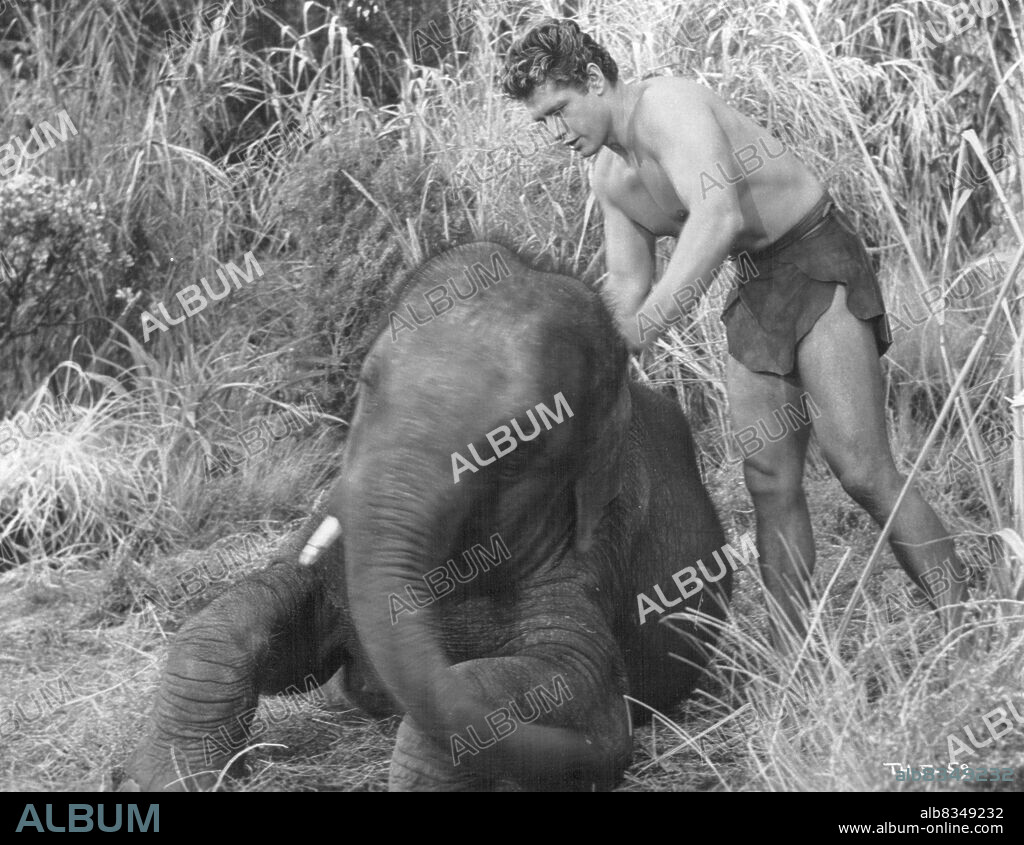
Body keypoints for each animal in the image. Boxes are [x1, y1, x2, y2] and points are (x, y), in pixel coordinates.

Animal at [124, 242, 732, 791]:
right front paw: (168, 780)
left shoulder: (592, 554)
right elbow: (250, 620)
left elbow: (564, 685)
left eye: (516, 441)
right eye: (366, 384)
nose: (606, 760)